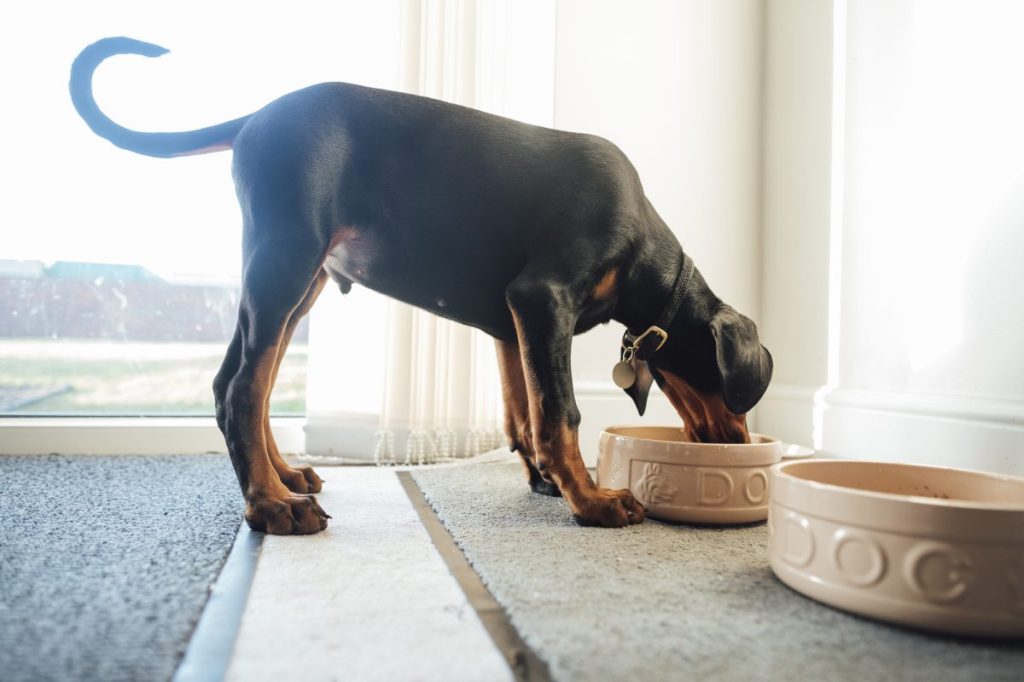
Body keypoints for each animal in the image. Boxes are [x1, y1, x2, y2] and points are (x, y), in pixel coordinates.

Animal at [70, 38, 770, 532]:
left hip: (298, 281)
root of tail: (256, 117)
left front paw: (547, 481)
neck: (641, 248)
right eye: (737, 394)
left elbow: (523, 413)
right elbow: (560, 410)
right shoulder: (543, 299)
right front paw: (592, 501)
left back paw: (286, 478)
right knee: (242, 387)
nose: (741, 444)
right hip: (285, 259)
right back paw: (271, 505)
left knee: (242, 384)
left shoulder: (513, 323)